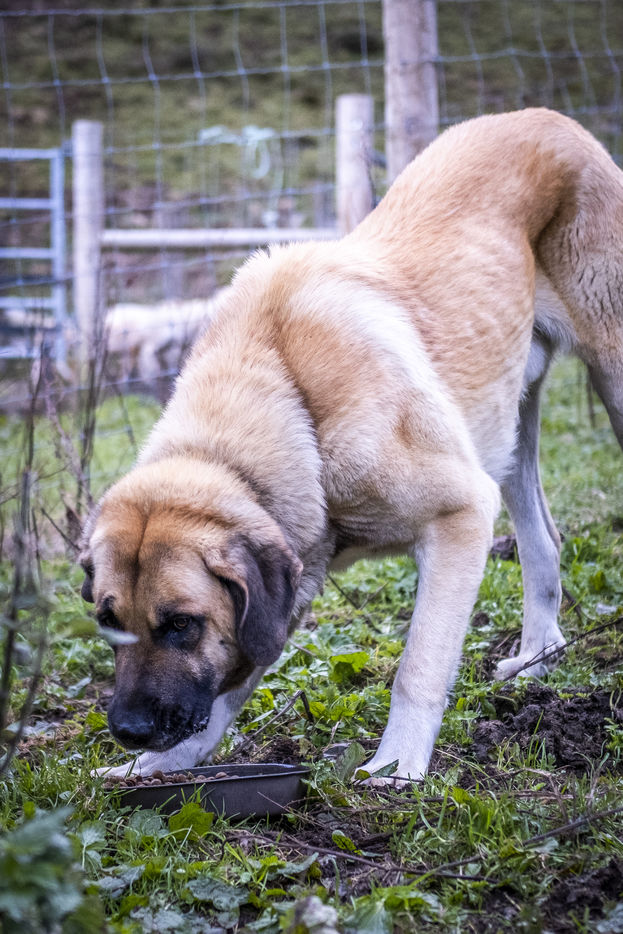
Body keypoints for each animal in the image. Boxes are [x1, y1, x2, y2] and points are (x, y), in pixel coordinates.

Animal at [80, 109, 623, 782]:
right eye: (109, 621)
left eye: (181, 624)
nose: (126, 731)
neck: (289, 398)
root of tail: (553, 118)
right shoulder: (288, 579)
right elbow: (225, 694)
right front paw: (155, 768)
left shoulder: (461, 514)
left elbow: (418, 668)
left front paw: (398, 767)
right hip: (506, 430)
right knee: (544, 543)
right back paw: (536, 660)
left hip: (606, 376)